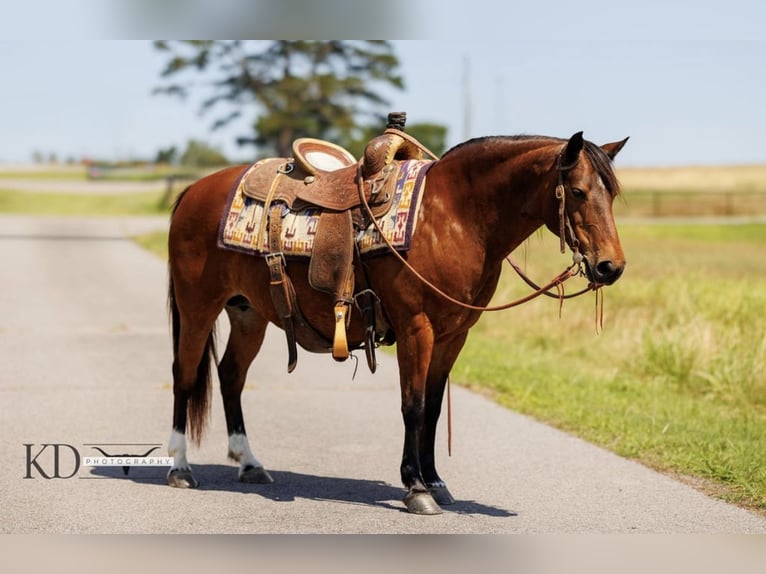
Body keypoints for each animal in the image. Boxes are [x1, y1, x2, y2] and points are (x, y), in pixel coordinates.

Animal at [165, 130, 628, 514]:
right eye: (578, 191)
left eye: (613, 195)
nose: (611, 266)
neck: (453, 218)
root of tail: (194, 190)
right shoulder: (415, 328)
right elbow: (413, 405)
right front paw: (416, 488)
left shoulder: (454, 335)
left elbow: (434, 408)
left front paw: (436, 481)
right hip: (197, 307)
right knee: (185, 375)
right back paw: (180, 469)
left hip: (248, 314)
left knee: (231, 375)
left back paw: (249, 463)